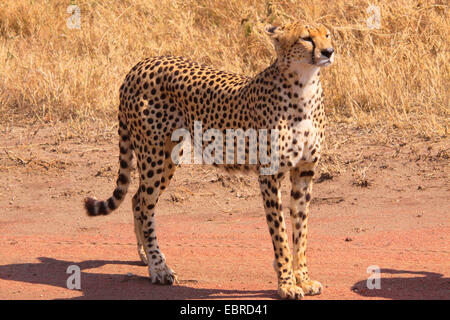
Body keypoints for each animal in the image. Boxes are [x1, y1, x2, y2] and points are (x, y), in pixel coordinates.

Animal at [84, 20, 334, 300]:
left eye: (327, 35)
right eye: (306, 38)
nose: (329, 52)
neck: (304, 86)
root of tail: (142, 63)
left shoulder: (304, 172)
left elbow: (301, 231)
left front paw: (303, 278)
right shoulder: (269, 175)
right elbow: (280, 234)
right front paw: (287, 284)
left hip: (166, 157)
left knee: (137, 199)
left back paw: (146, 257)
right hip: (155, 154)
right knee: (145, 205)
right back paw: (159, 268)